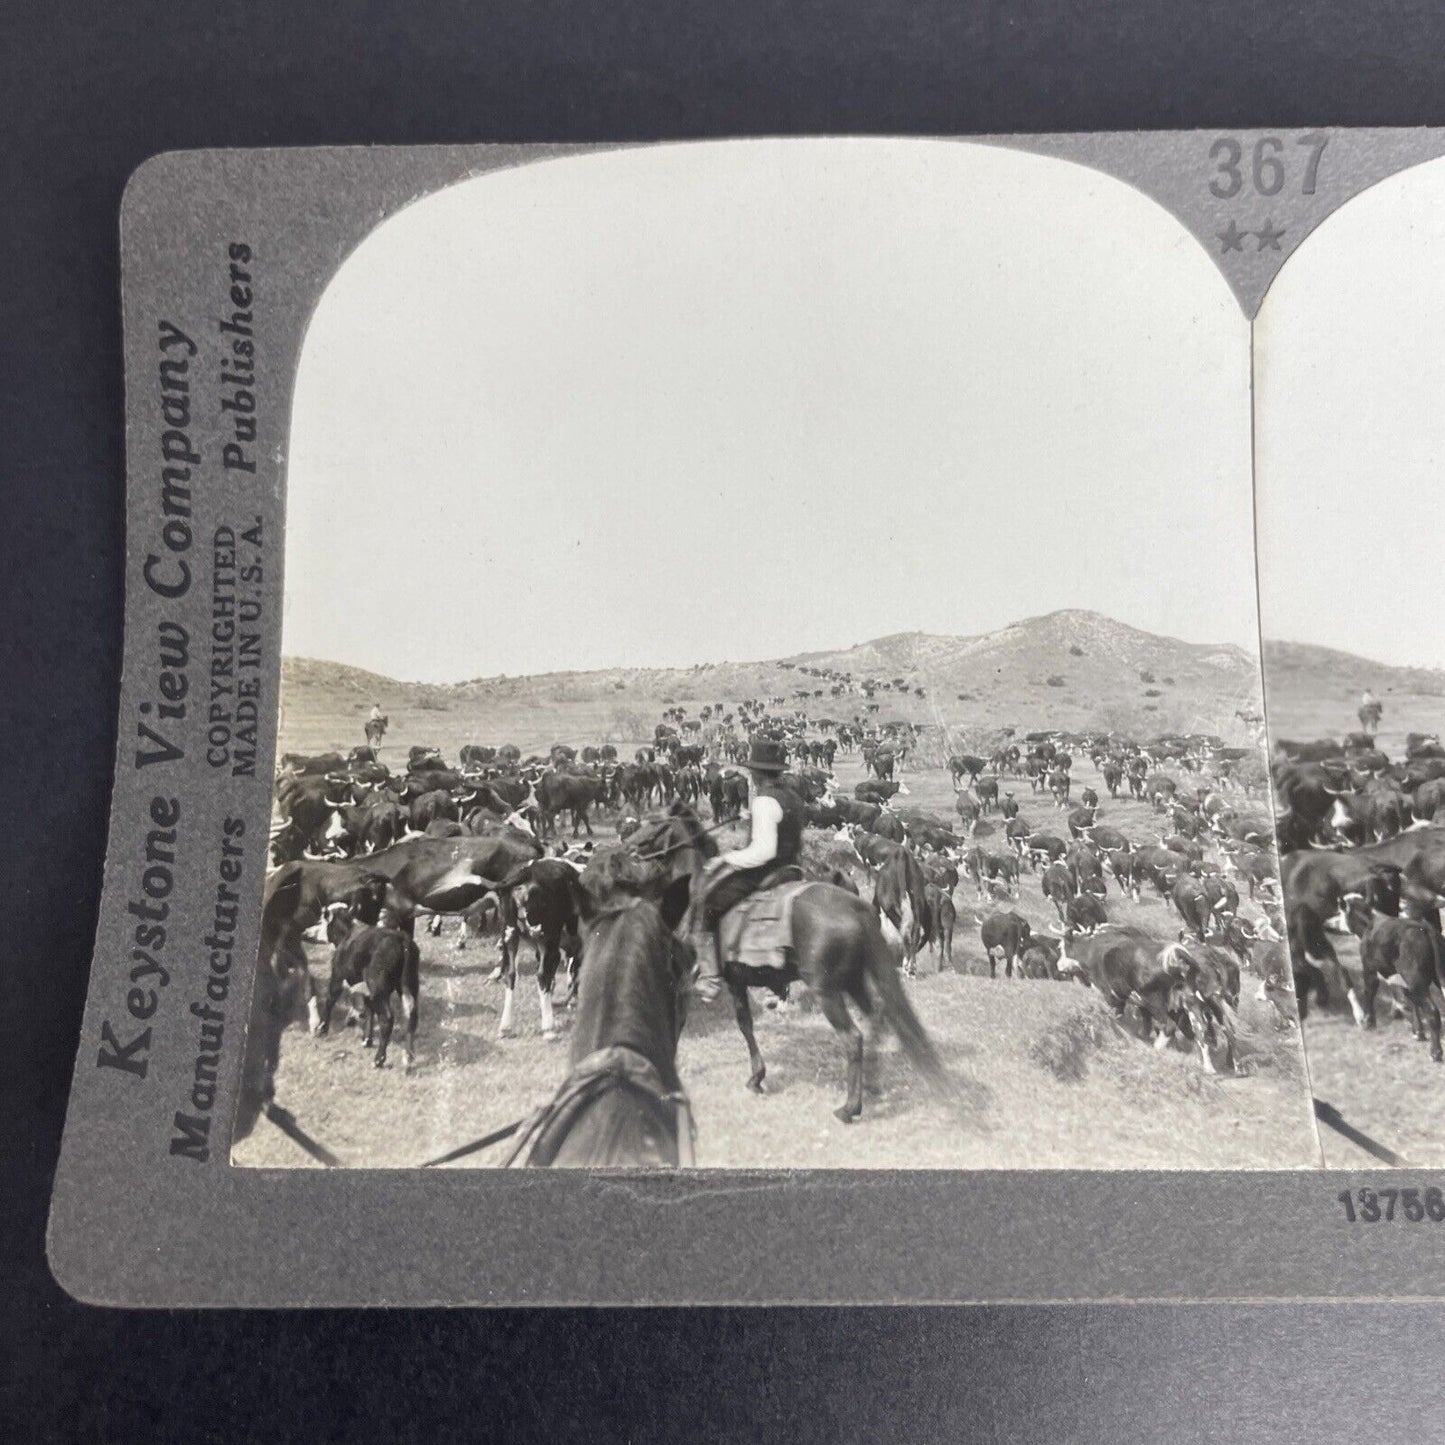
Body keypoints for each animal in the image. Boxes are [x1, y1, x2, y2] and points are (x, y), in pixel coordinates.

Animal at [618, 803, 947, 1115]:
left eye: (654, 824)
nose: (626, 849)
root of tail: (856, 909)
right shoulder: (735, 982)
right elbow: (744, 1024)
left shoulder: (691, 982)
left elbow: (716, 1024)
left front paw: (752, 1077)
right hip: (852, 981)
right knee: (875, 1017)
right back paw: (872, 1084)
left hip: (827, 990)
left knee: (853, 1037)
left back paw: (850, 1107)